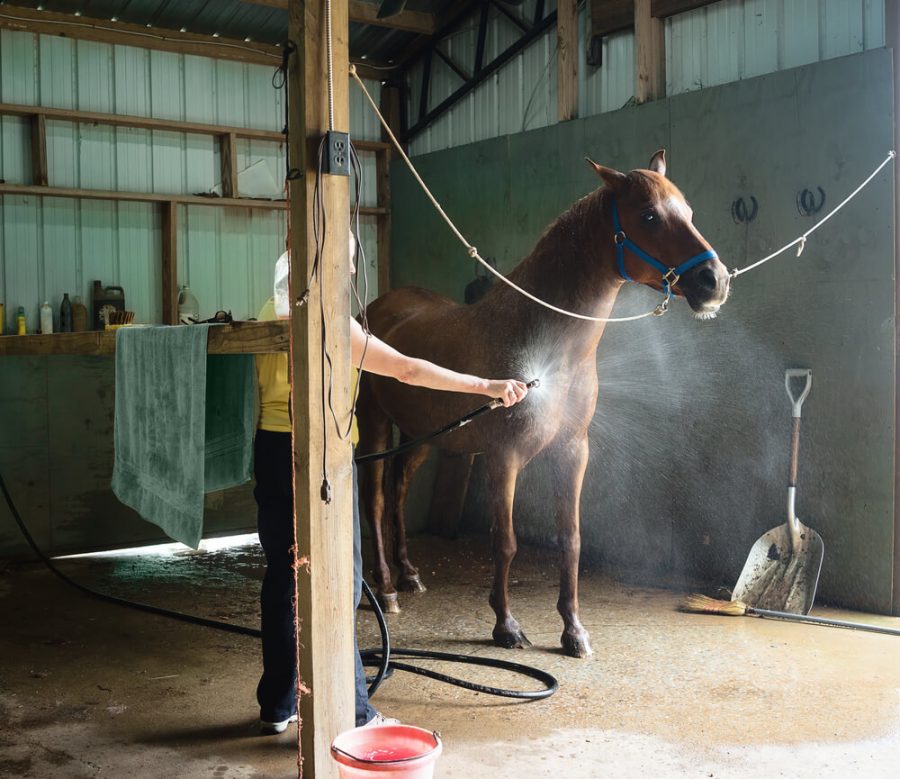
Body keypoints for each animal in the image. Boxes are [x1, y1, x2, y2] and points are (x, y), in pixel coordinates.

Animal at [356, 149, 728, 656]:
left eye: (688, 213)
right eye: (649, 215)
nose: (714, 281)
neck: (549, 351)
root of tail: (376, 309)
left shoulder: (573, 451)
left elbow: (570, 540)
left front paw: (574, 630)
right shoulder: (503, 457)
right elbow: (506, 542)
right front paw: (506, 625)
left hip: (423, 437)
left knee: (396, 491)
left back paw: (410, 575)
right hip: (375, 425)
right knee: (374, 499)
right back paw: (387, 588)